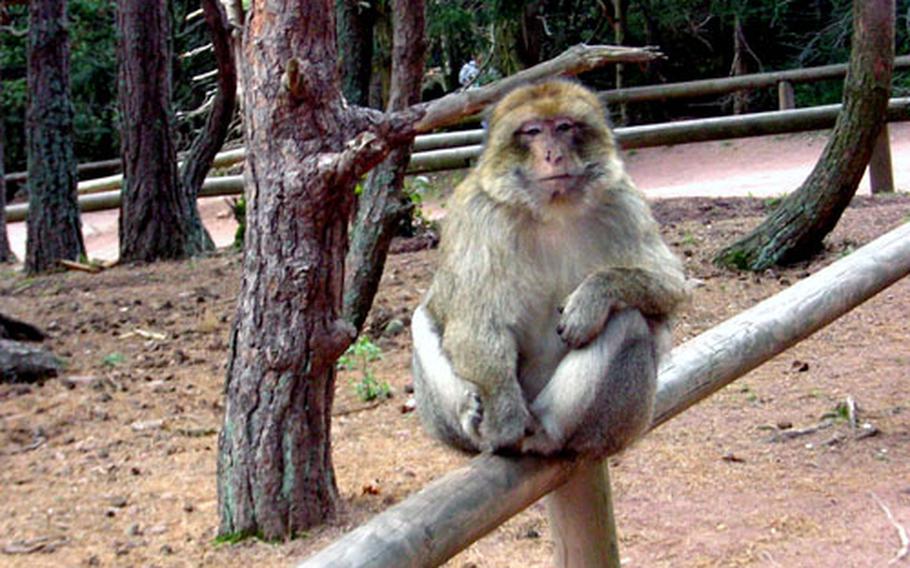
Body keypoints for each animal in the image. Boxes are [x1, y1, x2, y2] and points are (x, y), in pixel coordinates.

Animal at [410, 80, 688, 458]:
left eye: (564, 127)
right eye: (533, 131)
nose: (553, 154)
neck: (553, 210)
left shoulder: (622, 201)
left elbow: (671, 285)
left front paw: (592, 298)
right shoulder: (479, 215)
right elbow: (475, 322)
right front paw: (504, 417)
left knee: (629, 319)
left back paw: (549, 432)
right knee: (420, 319)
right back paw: (476, 420)